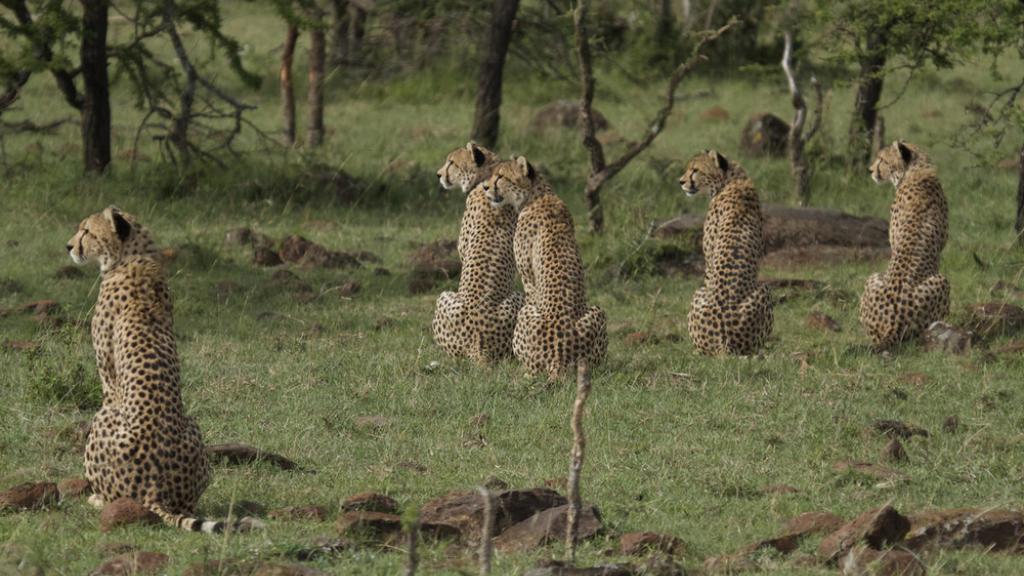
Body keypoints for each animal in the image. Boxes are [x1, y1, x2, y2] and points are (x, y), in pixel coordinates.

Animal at [67, 207, 258, 533]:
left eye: (87, 231)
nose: (69, 246)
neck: (134, 257)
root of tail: (156, 491)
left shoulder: (107, 377)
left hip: (104, 417)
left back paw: (96, 499)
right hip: (193, 425)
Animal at [482, 155, 607, 380]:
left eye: (501, 176)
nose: (486, 187)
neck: (538, 195)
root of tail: (560, 357)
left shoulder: (528, 278)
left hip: (525, 314)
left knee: (531, 369)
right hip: (597, 313)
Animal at [679, 150, 773, 356]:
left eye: (695, 170)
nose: (680, 182)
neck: (732, 180)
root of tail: (725, 344)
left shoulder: (708, 260)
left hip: (702, 293)